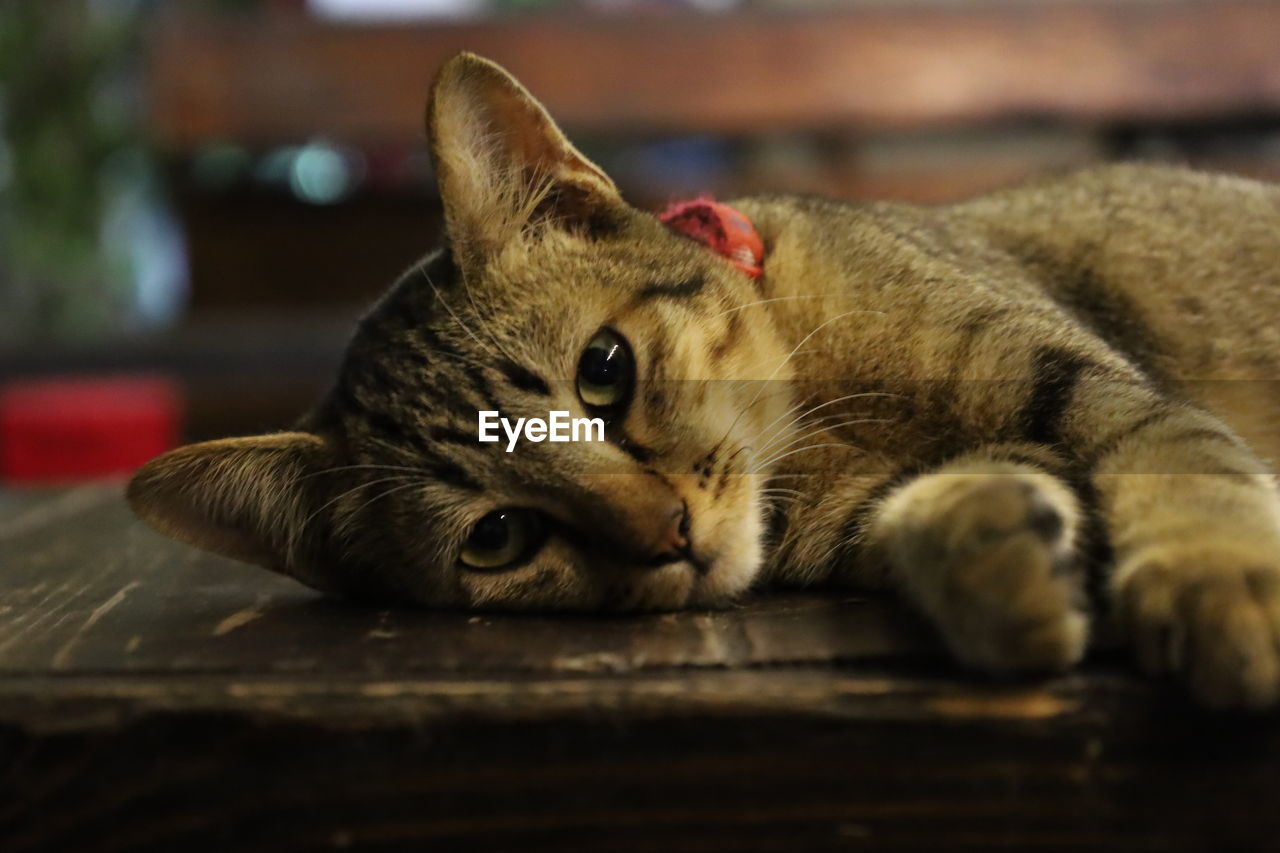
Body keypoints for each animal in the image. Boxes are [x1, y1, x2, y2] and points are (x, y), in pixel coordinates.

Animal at [127, 51, 1280, 701]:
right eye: (495, 536)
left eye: (603, 370)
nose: (667, 532)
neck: (814, 417)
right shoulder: (868, 506)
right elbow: (934, 507)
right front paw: (986, 553)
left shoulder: (1086, 381)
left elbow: (1180, 465)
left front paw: (1213, 578)